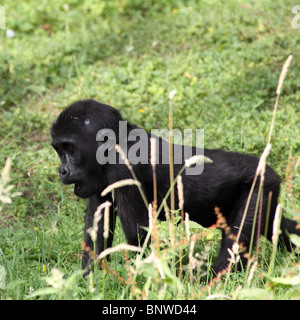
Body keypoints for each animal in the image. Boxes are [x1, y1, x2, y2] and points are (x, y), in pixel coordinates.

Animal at [50, 99, 298, 276]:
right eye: (59, 150)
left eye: (70, 149)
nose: (62, 171)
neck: (119, 140)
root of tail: (270, 170)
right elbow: (97, 219)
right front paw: (89, 279)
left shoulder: (124, 167)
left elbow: (139, 236)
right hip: (266, 190)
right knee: (275, 224)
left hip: (259, 184)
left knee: (237, 239)